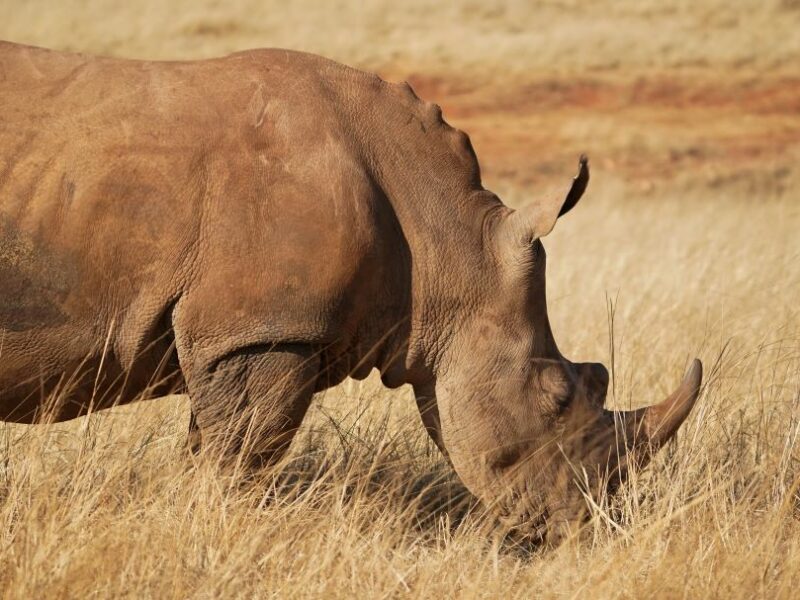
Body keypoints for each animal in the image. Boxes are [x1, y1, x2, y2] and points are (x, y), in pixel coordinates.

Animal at [0, 41, 702, 543]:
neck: (446, 240)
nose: (585, 529)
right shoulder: (264, 330)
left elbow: (213, 446)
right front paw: (219, 532)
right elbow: (242, 457)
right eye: (556, 396)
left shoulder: (233, 334)